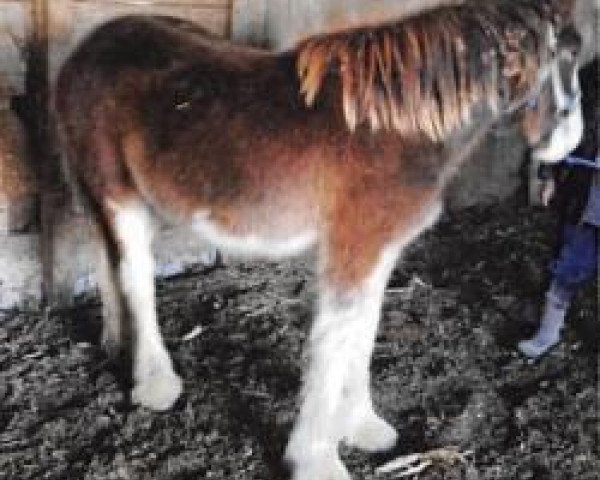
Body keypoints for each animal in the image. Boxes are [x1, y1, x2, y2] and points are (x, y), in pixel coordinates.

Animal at [55, 1, 580, 478]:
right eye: (563, 58)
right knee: (136, 278)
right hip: (119, 195)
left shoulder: (379, 254)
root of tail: (90, 46)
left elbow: (362, 336)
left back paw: (116, 346)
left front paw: (363, 426)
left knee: (110, 269)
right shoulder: (353, 251)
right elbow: (330, 348)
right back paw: (156, 384)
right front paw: (316, 460)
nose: (568, 146)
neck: (399, 127)